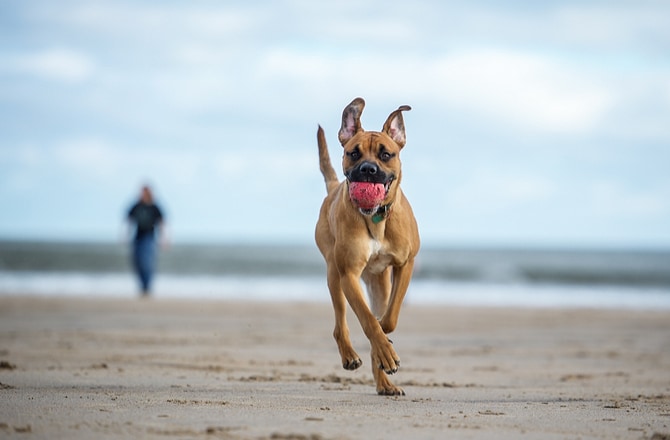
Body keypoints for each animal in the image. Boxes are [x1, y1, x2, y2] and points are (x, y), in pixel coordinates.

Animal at [316, 98, 420, 398]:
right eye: (353, 153)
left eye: (386, 154)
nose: (368, 170)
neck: (375, 218)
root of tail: (333, 189)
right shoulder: (349, 274)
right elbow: (367, 320)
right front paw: (383, 345)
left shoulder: (405, 264)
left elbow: (390, 317)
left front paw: (385, 341)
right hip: (334, 275)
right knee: (340, 324)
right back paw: (352, 355)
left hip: (378, 282)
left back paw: (385, 381)